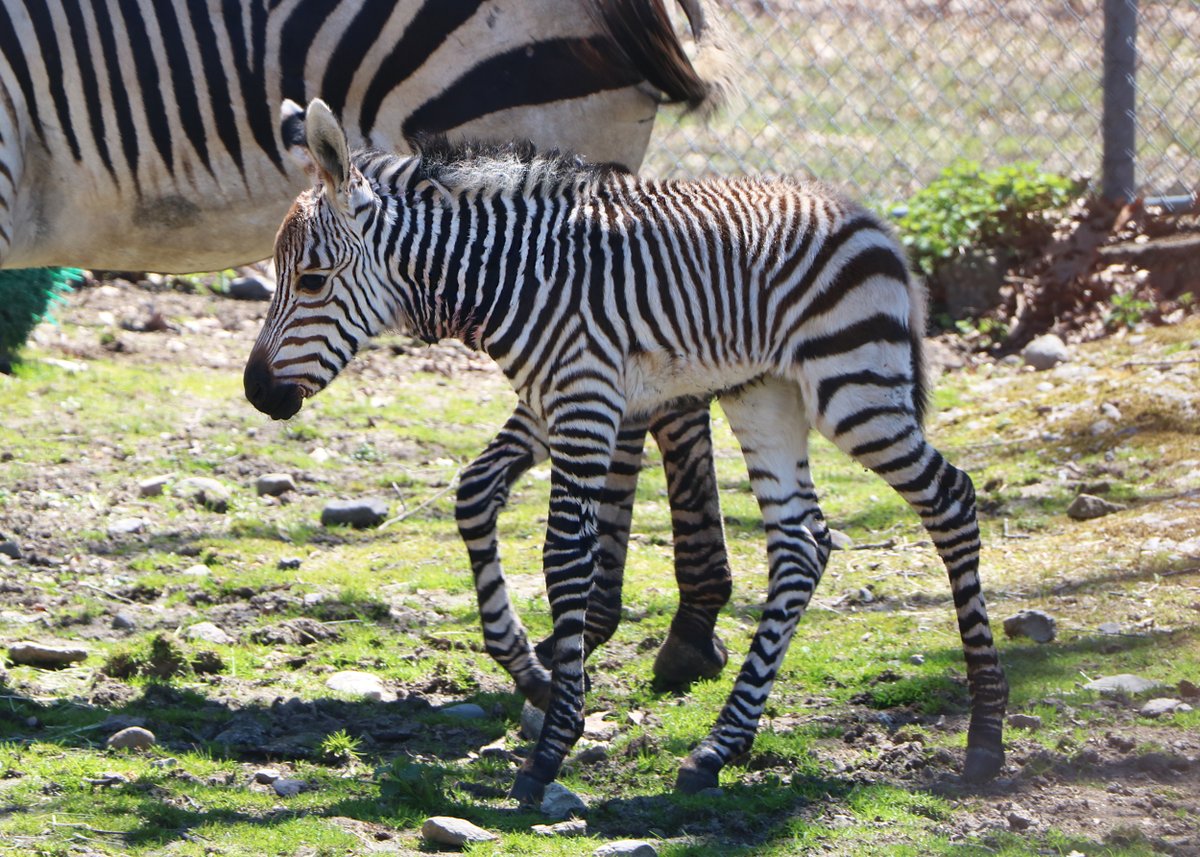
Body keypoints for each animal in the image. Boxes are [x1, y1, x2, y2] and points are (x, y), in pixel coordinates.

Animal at [248, 100, 1008, 801]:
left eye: (311, 280)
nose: (257, 392)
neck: (511, 276)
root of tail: (867, 217)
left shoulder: (584, 399)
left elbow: (564, 559)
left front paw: (553, 743)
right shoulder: (553, 401)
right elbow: (481, 497)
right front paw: (536, 674)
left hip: (852, 388)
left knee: (949, 498)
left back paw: (985, 737)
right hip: (764, 393)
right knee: (801, 543)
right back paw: (718, 748)